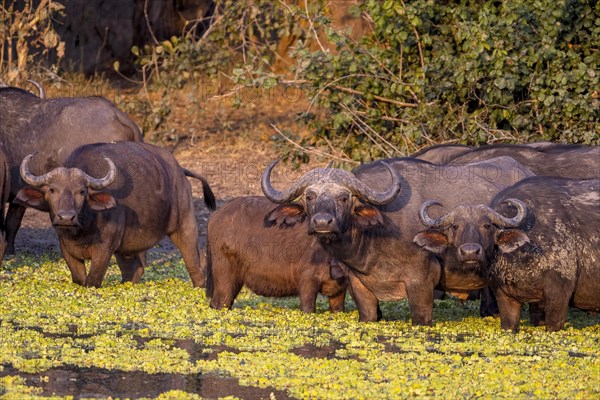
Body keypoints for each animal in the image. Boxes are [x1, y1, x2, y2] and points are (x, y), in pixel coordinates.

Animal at [206, 197, 346, 312]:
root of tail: (215, 214)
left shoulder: (339, 291)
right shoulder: (308, 282)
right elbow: (308, 308)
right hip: (225, 277)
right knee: (219, 303)